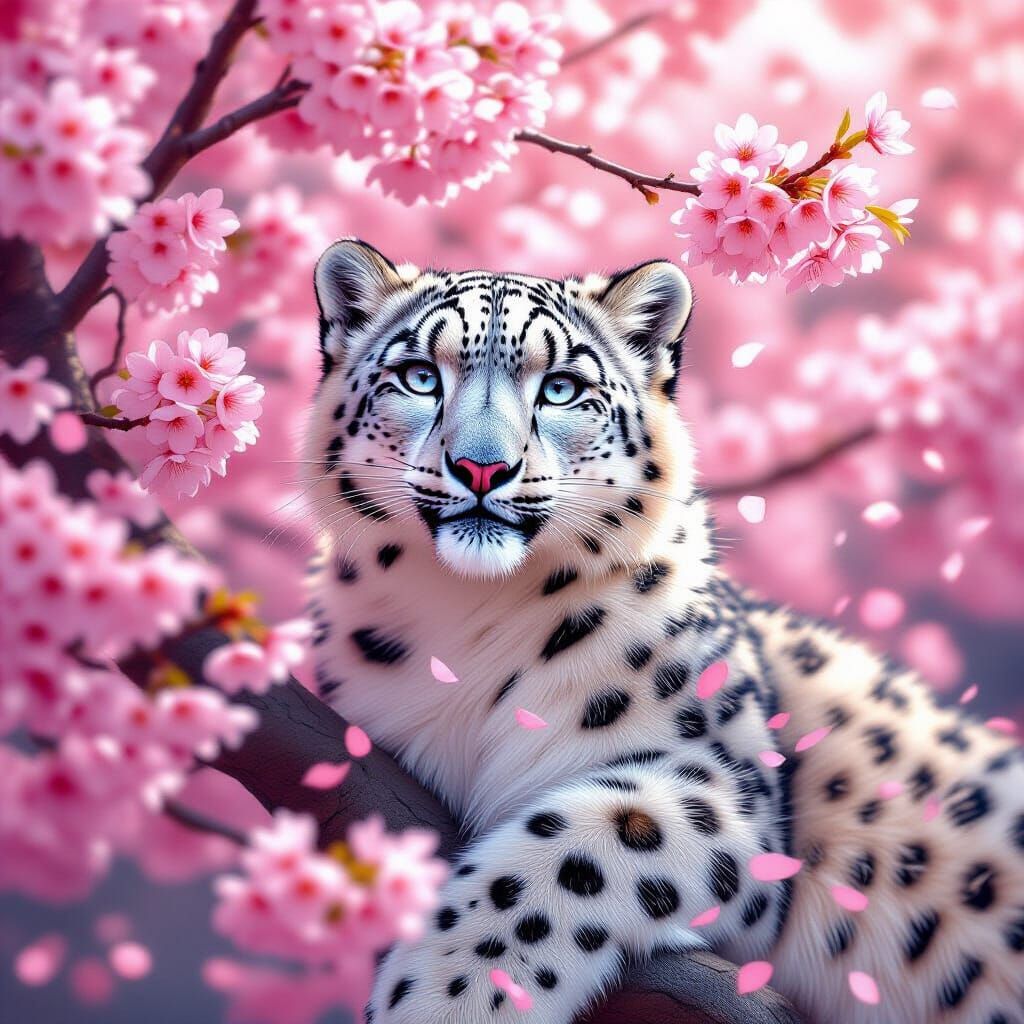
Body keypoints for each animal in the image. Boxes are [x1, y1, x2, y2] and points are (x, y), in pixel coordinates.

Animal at [303, 238, 1024, 1024]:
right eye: (419, 377)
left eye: (561, 388)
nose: (481, 467)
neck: (464, 613)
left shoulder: (728, 789)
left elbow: (580, 841)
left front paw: (449, 996)